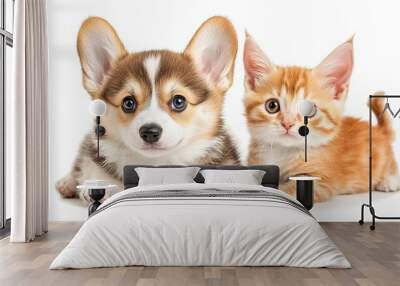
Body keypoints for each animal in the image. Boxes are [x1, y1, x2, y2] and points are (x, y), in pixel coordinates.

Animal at [244, 34, 400, 201]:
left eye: (309, 109)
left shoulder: (321, 182)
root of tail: (380, 130)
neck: (283, 152)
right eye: (272, 106)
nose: (287, 123)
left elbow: (288, 190)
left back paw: (388, 181)